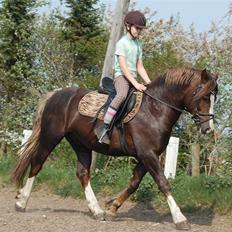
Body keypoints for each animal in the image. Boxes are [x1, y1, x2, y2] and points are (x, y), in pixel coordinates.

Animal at [11, 67, 218, 230]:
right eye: (204, 97)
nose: (209, 129)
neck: (154, 109)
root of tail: (56, 94)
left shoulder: (146, 156)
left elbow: (134, 183)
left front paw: (112, 208)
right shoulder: (148, 154)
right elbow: (163, 182)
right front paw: (180, 218)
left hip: (81, 144)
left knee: (82, 173)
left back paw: (96, 210)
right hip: (50, 137)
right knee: (37, 164)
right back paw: (21, 201)